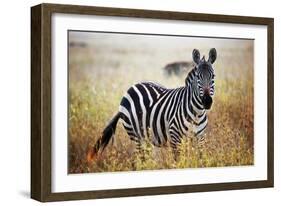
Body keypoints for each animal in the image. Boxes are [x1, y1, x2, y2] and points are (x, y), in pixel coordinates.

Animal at [87, 48, 217, 161]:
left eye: (213, 76)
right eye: (198, 77)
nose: (207, 101)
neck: (197, 113)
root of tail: (133, 86)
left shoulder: (200, 138)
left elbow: (199, 160)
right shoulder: (175, 138)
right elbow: (178, 162)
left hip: (147, 137)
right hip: (135, 135)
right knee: (140, 159)